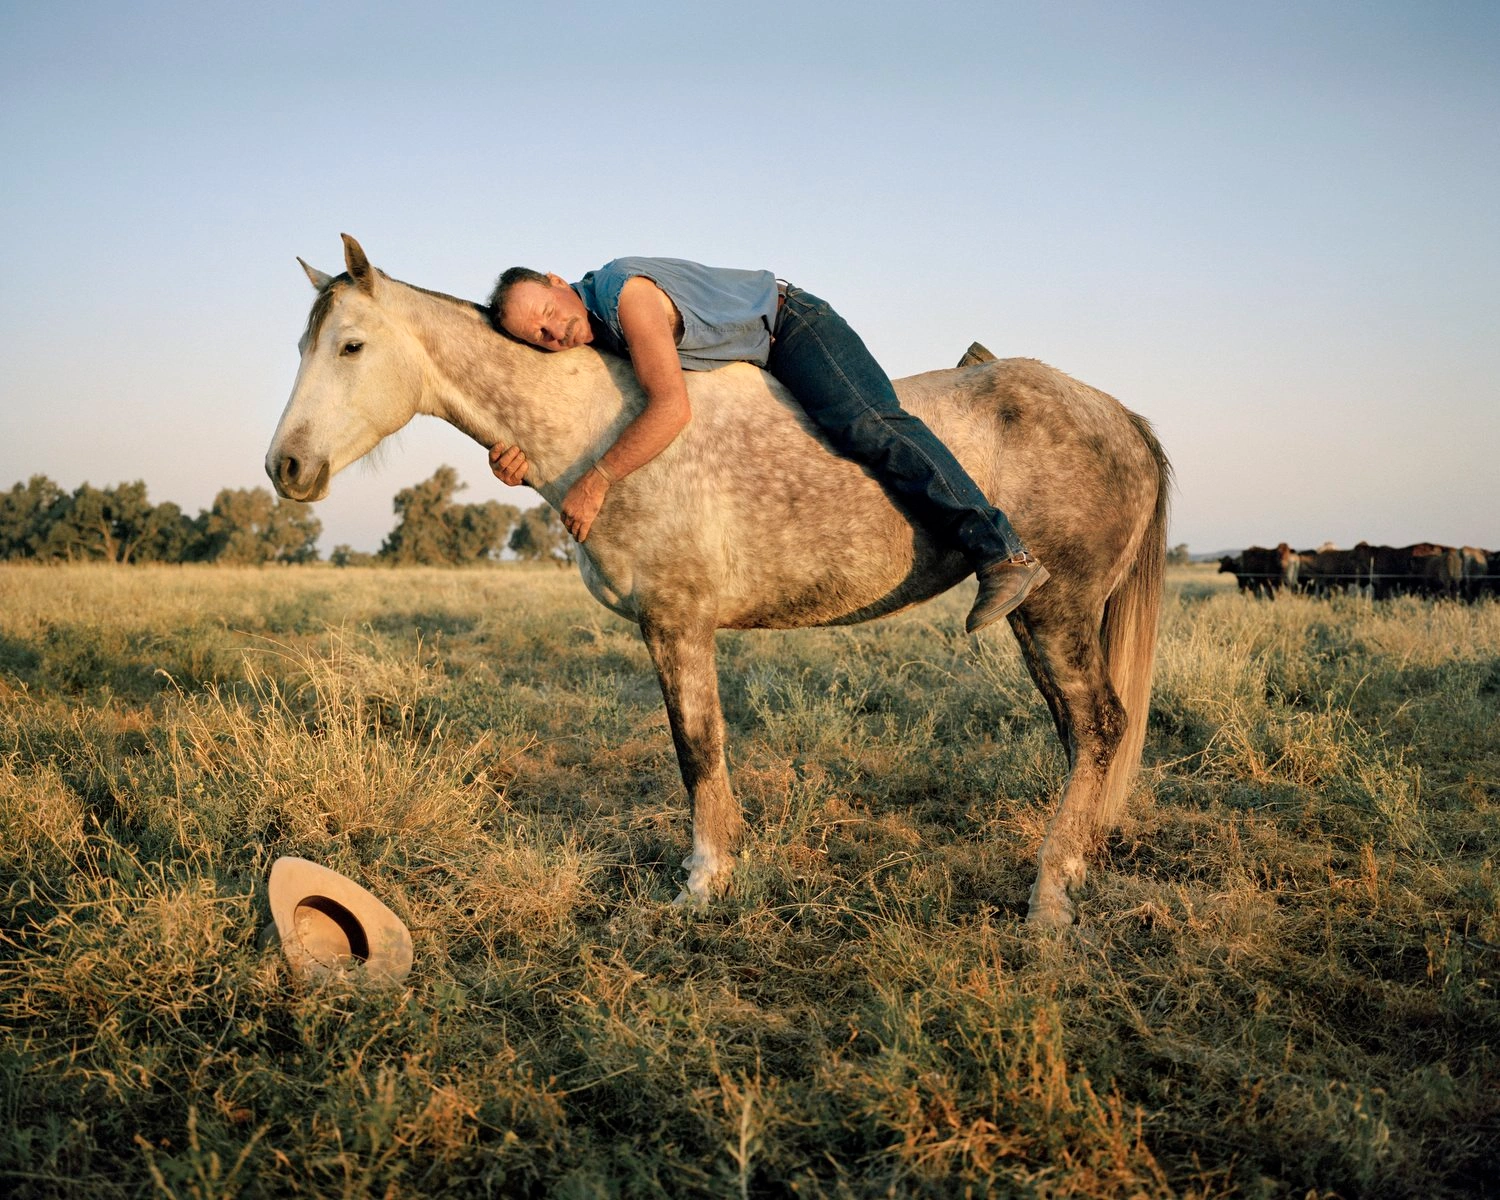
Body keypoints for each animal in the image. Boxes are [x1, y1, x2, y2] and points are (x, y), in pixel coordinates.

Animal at [266, 235, 1171, 927]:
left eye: (351, 345)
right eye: (302, 346)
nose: (286, 467)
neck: (605, 433)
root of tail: (1117, 413)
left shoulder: (677, 623)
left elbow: (697, 748)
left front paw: (703, 884)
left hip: (1057, 610)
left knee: (1097, 728)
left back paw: (1048, 900)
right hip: (1042, 620)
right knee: (1084, 735)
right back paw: (1072, 869)